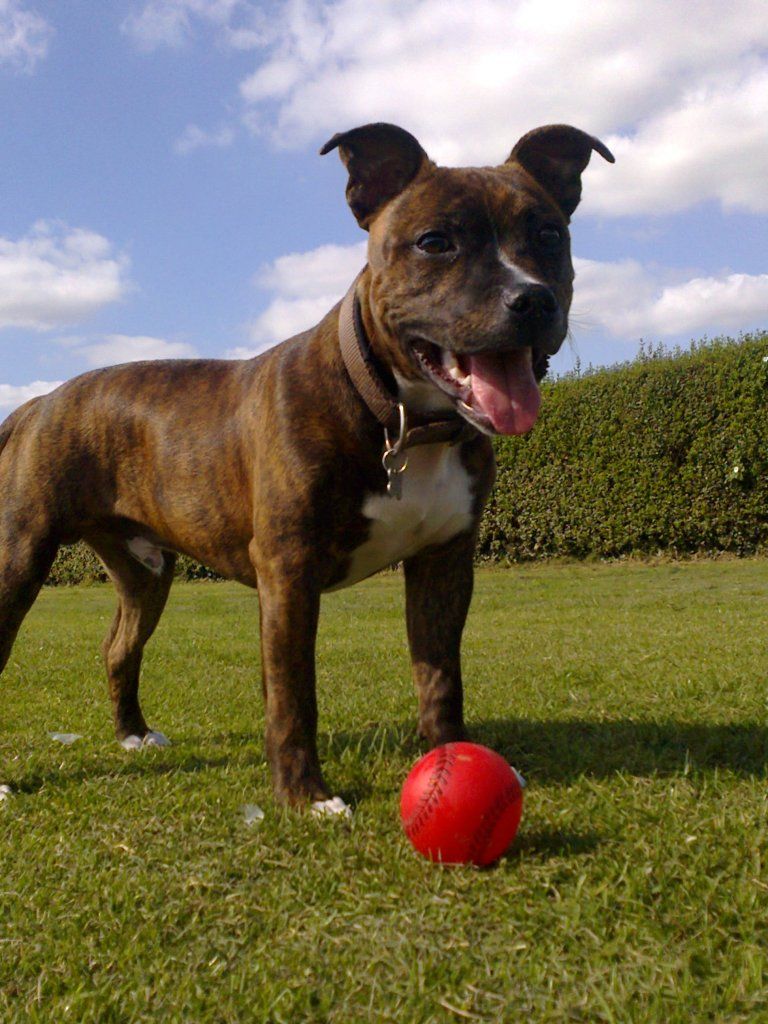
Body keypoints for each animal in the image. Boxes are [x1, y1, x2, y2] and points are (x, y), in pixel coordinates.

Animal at [0, 123, 614, 811]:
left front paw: (452, 756)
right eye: (434, 242)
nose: (530, 298)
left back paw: (132, 733)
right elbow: (294, 692)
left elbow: (440, 676)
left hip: (146, 572)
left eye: (549, 235)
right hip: (17, 558)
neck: (405, 420)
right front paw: (305, 797)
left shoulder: (445, 562)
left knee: (118, 647)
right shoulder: (289, 570)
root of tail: (39, 402)